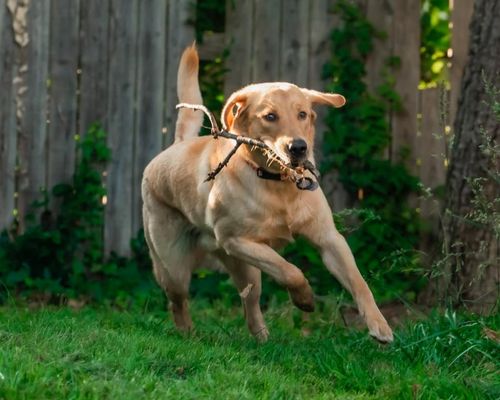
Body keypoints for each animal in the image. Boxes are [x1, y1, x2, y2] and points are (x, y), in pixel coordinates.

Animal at [142, 44, 394, 344]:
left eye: (302, 114)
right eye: (270, 117)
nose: (298, 147)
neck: (279, 184)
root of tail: (176, 146)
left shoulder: (330, 239)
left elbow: (359, 282)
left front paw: (380, 326)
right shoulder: (237, 241)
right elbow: (290, 271)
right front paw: (305, 299)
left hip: (245, 270)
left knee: (249, 302)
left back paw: (262, 339)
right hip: (175, 266)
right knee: (178, 301)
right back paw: (188, 335)